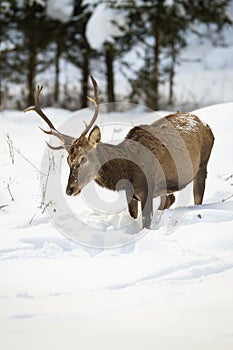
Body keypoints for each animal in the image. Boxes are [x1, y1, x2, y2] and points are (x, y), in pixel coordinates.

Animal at [24, 76, 214, 228]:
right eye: (68, 161)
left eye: (83, 158)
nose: (70, 190)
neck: (127, 171)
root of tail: (204, 123)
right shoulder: (131, 195)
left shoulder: (147, 190)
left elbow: (145, 223)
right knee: (170, 198)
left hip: (203, 164)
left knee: (196, 197)